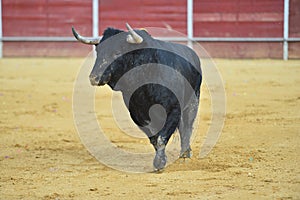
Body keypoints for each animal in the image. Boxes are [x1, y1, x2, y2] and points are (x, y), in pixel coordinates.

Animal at [72, 23, 203, 170]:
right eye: (98, 51)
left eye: (117, 52)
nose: (94, 78)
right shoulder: (138, 115)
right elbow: (154, 138)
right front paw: (160, 160)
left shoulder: (173, 109)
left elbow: (162, 137)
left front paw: (159, 162)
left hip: (193, 101)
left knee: (187, 127)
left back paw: (185, 154)